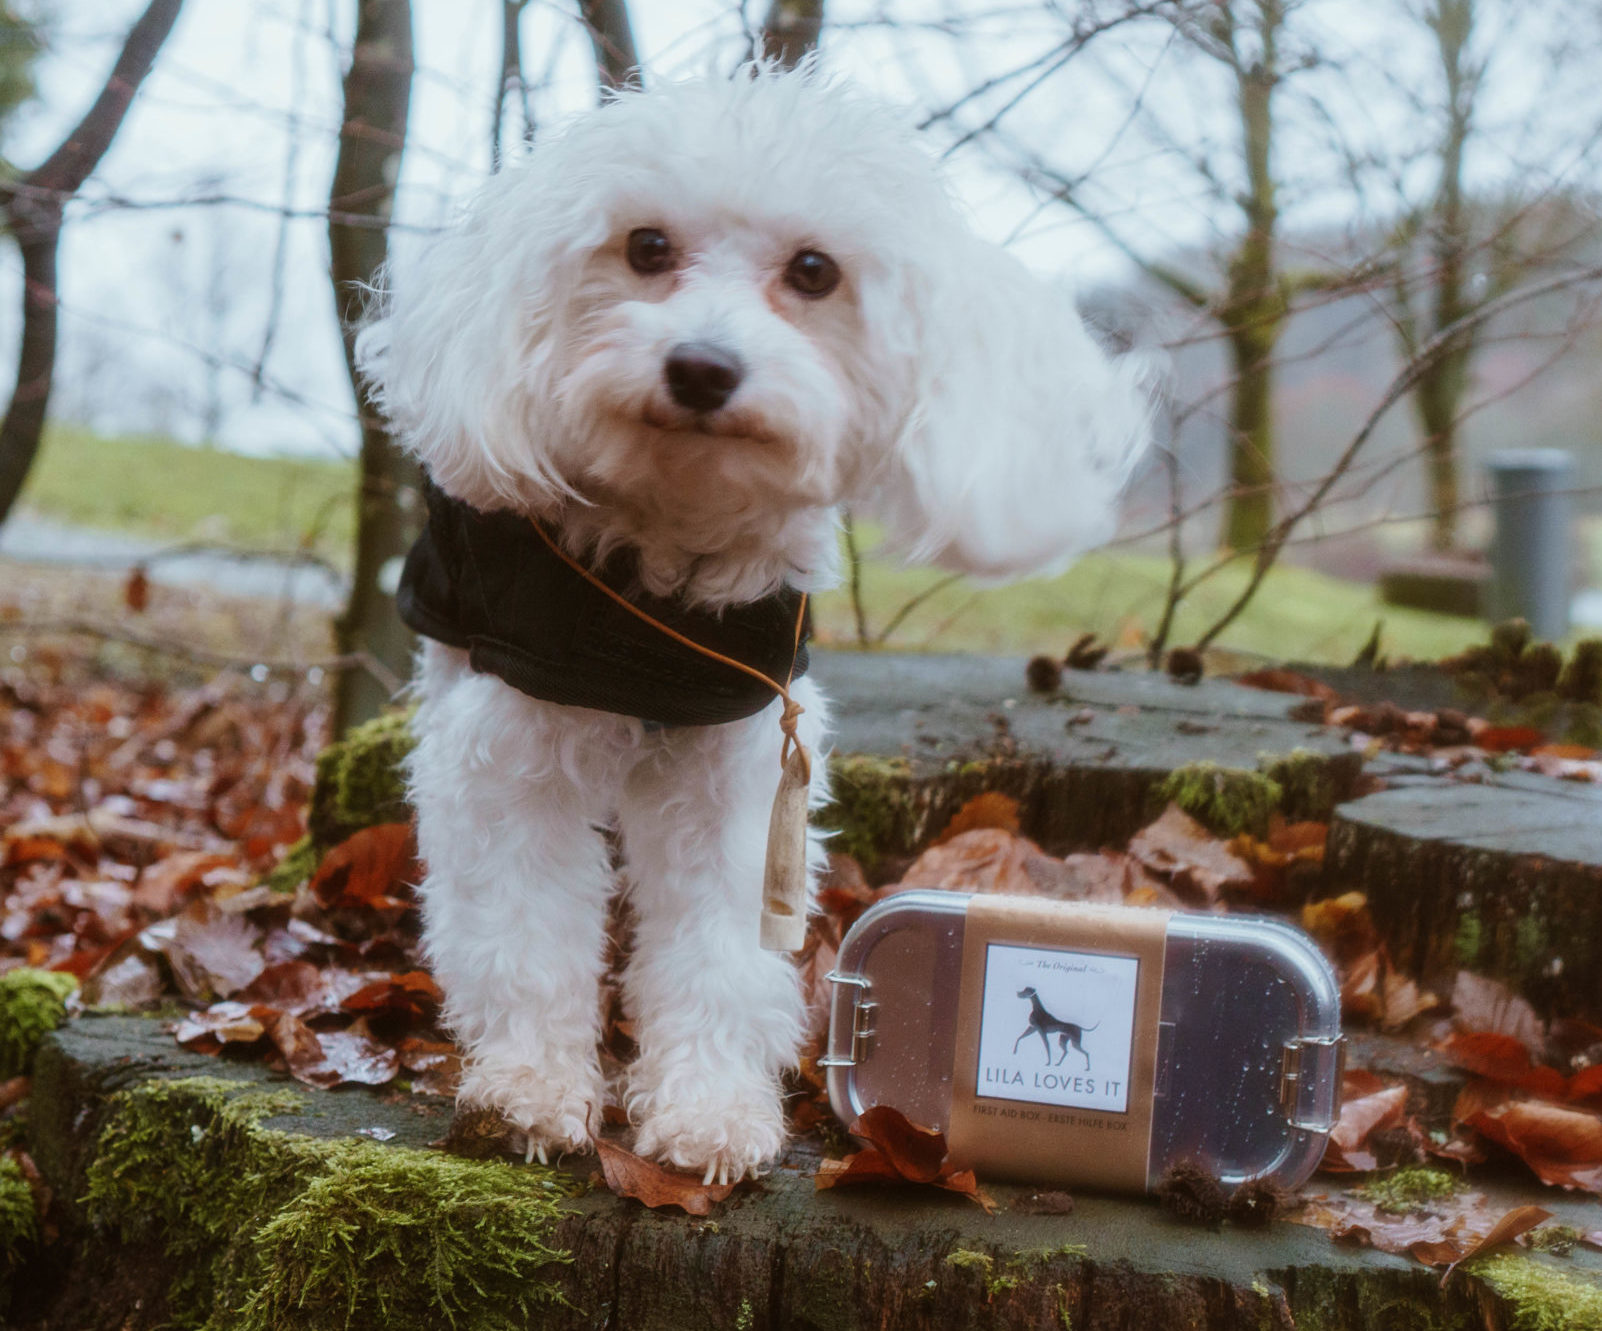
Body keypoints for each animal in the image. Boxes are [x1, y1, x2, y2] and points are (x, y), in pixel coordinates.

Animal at [357, 67, 1147, 1178]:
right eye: (645, 247)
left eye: (814, 271)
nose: (701, 366)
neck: (658, 587)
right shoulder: (517, 744)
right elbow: (524, 927)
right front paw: (531, 1089)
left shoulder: (741, 773)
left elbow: (720, 950)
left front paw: (710, 1109)